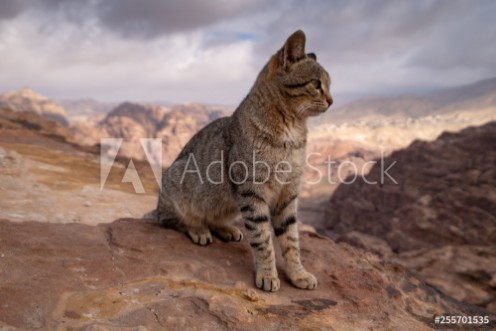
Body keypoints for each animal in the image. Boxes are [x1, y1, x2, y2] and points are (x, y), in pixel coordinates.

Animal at [149, 29, 332, 292]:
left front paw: (298, 273)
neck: (292, 131)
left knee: (212, 218)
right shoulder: (251, 192)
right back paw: (198, 230)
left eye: (329, 85)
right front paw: (268, 275)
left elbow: (291, 240)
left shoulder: (288, 194)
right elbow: (263, 239)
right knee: (174, 220)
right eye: (316, 84)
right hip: (177, 182)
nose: (331, 100)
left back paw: (226, 229)